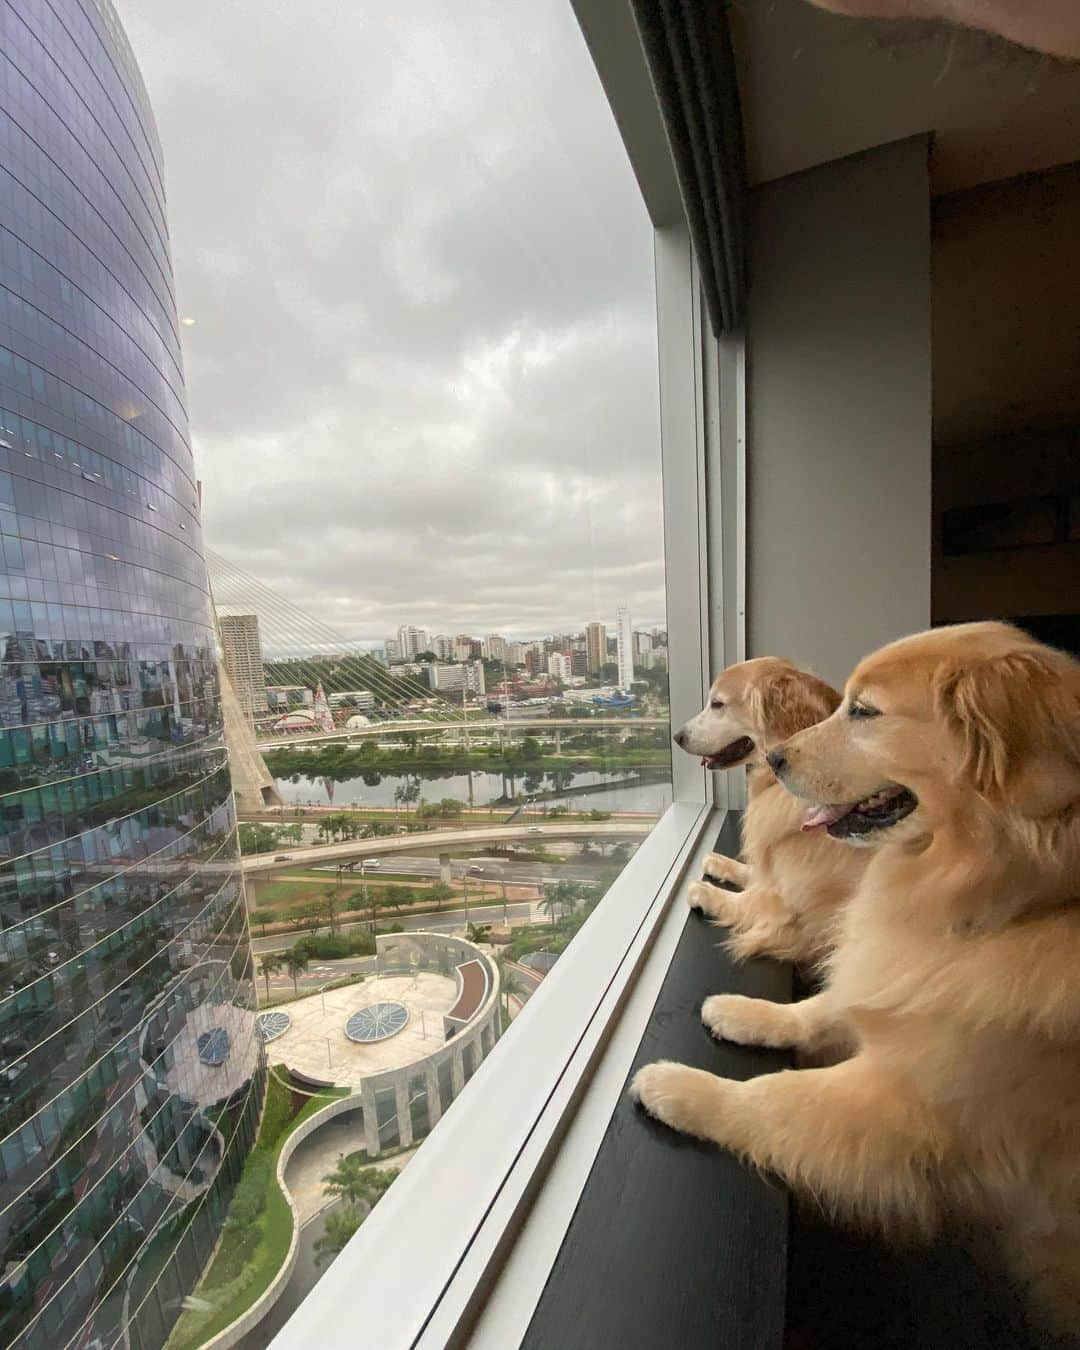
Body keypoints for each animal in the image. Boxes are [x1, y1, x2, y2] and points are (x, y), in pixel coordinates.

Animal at [669, 653, 864, 961]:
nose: (677, 736)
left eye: (717, 704)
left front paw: (708, 894)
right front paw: (722, 864)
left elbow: (753, 900)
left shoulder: (795, 913)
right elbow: (759, 874)